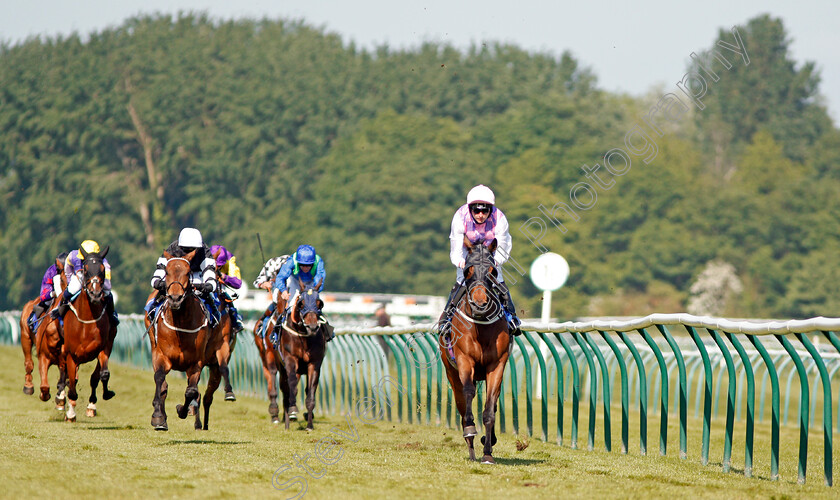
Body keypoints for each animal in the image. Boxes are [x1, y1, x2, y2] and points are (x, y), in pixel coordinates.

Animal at [58, 248, 115, 420]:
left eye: (102, 270)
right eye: (86, 269)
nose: (96, 294)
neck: (86, 322)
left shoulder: (103, 348)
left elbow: (102, 374)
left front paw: (103, 395)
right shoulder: (71, 354)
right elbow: (72, 384)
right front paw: (70, 413)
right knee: (67, 376)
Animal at [146, 250, 228, 430]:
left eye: (187, 272)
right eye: (167, 271)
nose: (175, 298)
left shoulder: (196, 362)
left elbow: (191, 391)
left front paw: (182, 410)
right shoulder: (161, 356)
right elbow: (160, 380)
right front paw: (158, 417)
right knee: (163, 385)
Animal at [278, 280, 326, 432]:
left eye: (319, 303)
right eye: (301, 303)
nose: (312, 327)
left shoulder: (314, 364)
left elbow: (310, 394)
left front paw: (309, 425)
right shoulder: (290, 360)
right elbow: (292, 386)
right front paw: (293, 409)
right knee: (286, 391)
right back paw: (287, 421)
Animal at [440, 238, 512, 464]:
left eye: (492, 271)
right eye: (468, 271)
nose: (480, 303)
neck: (480, 326)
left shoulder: (497, 366)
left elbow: (490, 408)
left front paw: (488, 452)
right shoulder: (464, 360)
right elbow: (469, 392)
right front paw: (471, 429)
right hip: (451, 372)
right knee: (461, 403)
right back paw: (470, 444)